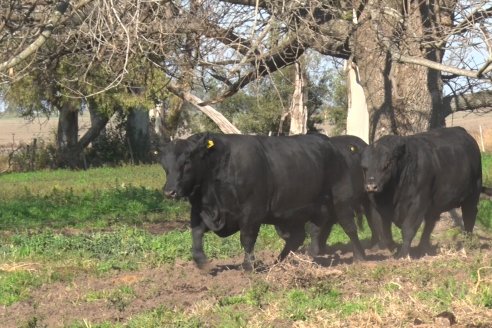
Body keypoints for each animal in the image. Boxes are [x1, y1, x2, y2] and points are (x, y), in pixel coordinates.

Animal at [160, 132, 368, 270]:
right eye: (164, 165)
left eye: (186, 161)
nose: (169, 191)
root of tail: (329, 142)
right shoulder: (201, 211)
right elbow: (196, 232)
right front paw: (201, 261)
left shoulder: (251, 212)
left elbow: (247, 238)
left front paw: (248, 266)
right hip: (296, 211)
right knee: (306, 234)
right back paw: (285, 261)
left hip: (341, 199)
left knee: (349, 227)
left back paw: (360, 257)